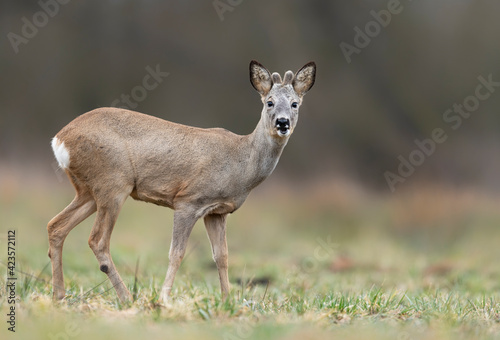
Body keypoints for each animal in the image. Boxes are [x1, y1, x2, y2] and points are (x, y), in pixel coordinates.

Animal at [49, 60, 316, 302]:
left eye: (295, 103)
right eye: (269, 102)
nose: (283, 122)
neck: (240, 162)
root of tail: (59, 139)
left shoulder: (217, 212)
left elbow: (222, 256)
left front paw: (227, 300)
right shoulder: (189, 201)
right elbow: (176, 253)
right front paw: (164, 298)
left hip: (88, 190)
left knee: (56, 226)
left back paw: (59, 296)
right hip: (113, 183)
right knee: (97, 240)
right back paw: (126, 297)